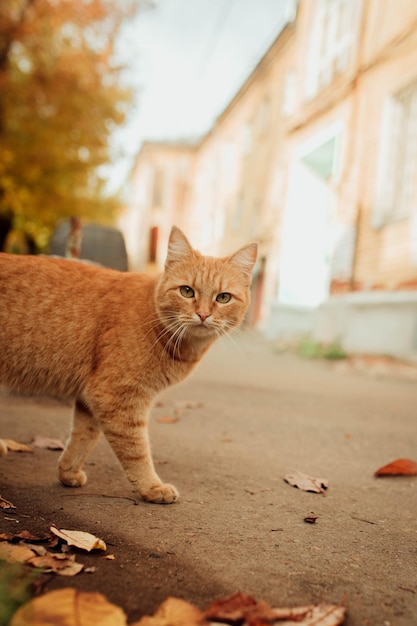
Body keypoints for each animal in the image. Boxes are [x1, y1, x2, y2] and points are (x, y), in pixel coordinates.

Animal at [0, 227, 256, 500]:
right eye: (187, 291)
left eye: (223, 297)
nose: (204, 315)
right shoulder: (115, 396)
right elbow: (136, 449)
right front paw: (151, 487)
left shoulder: (91, 398)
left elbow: (83, 437)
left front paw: (68, 472)